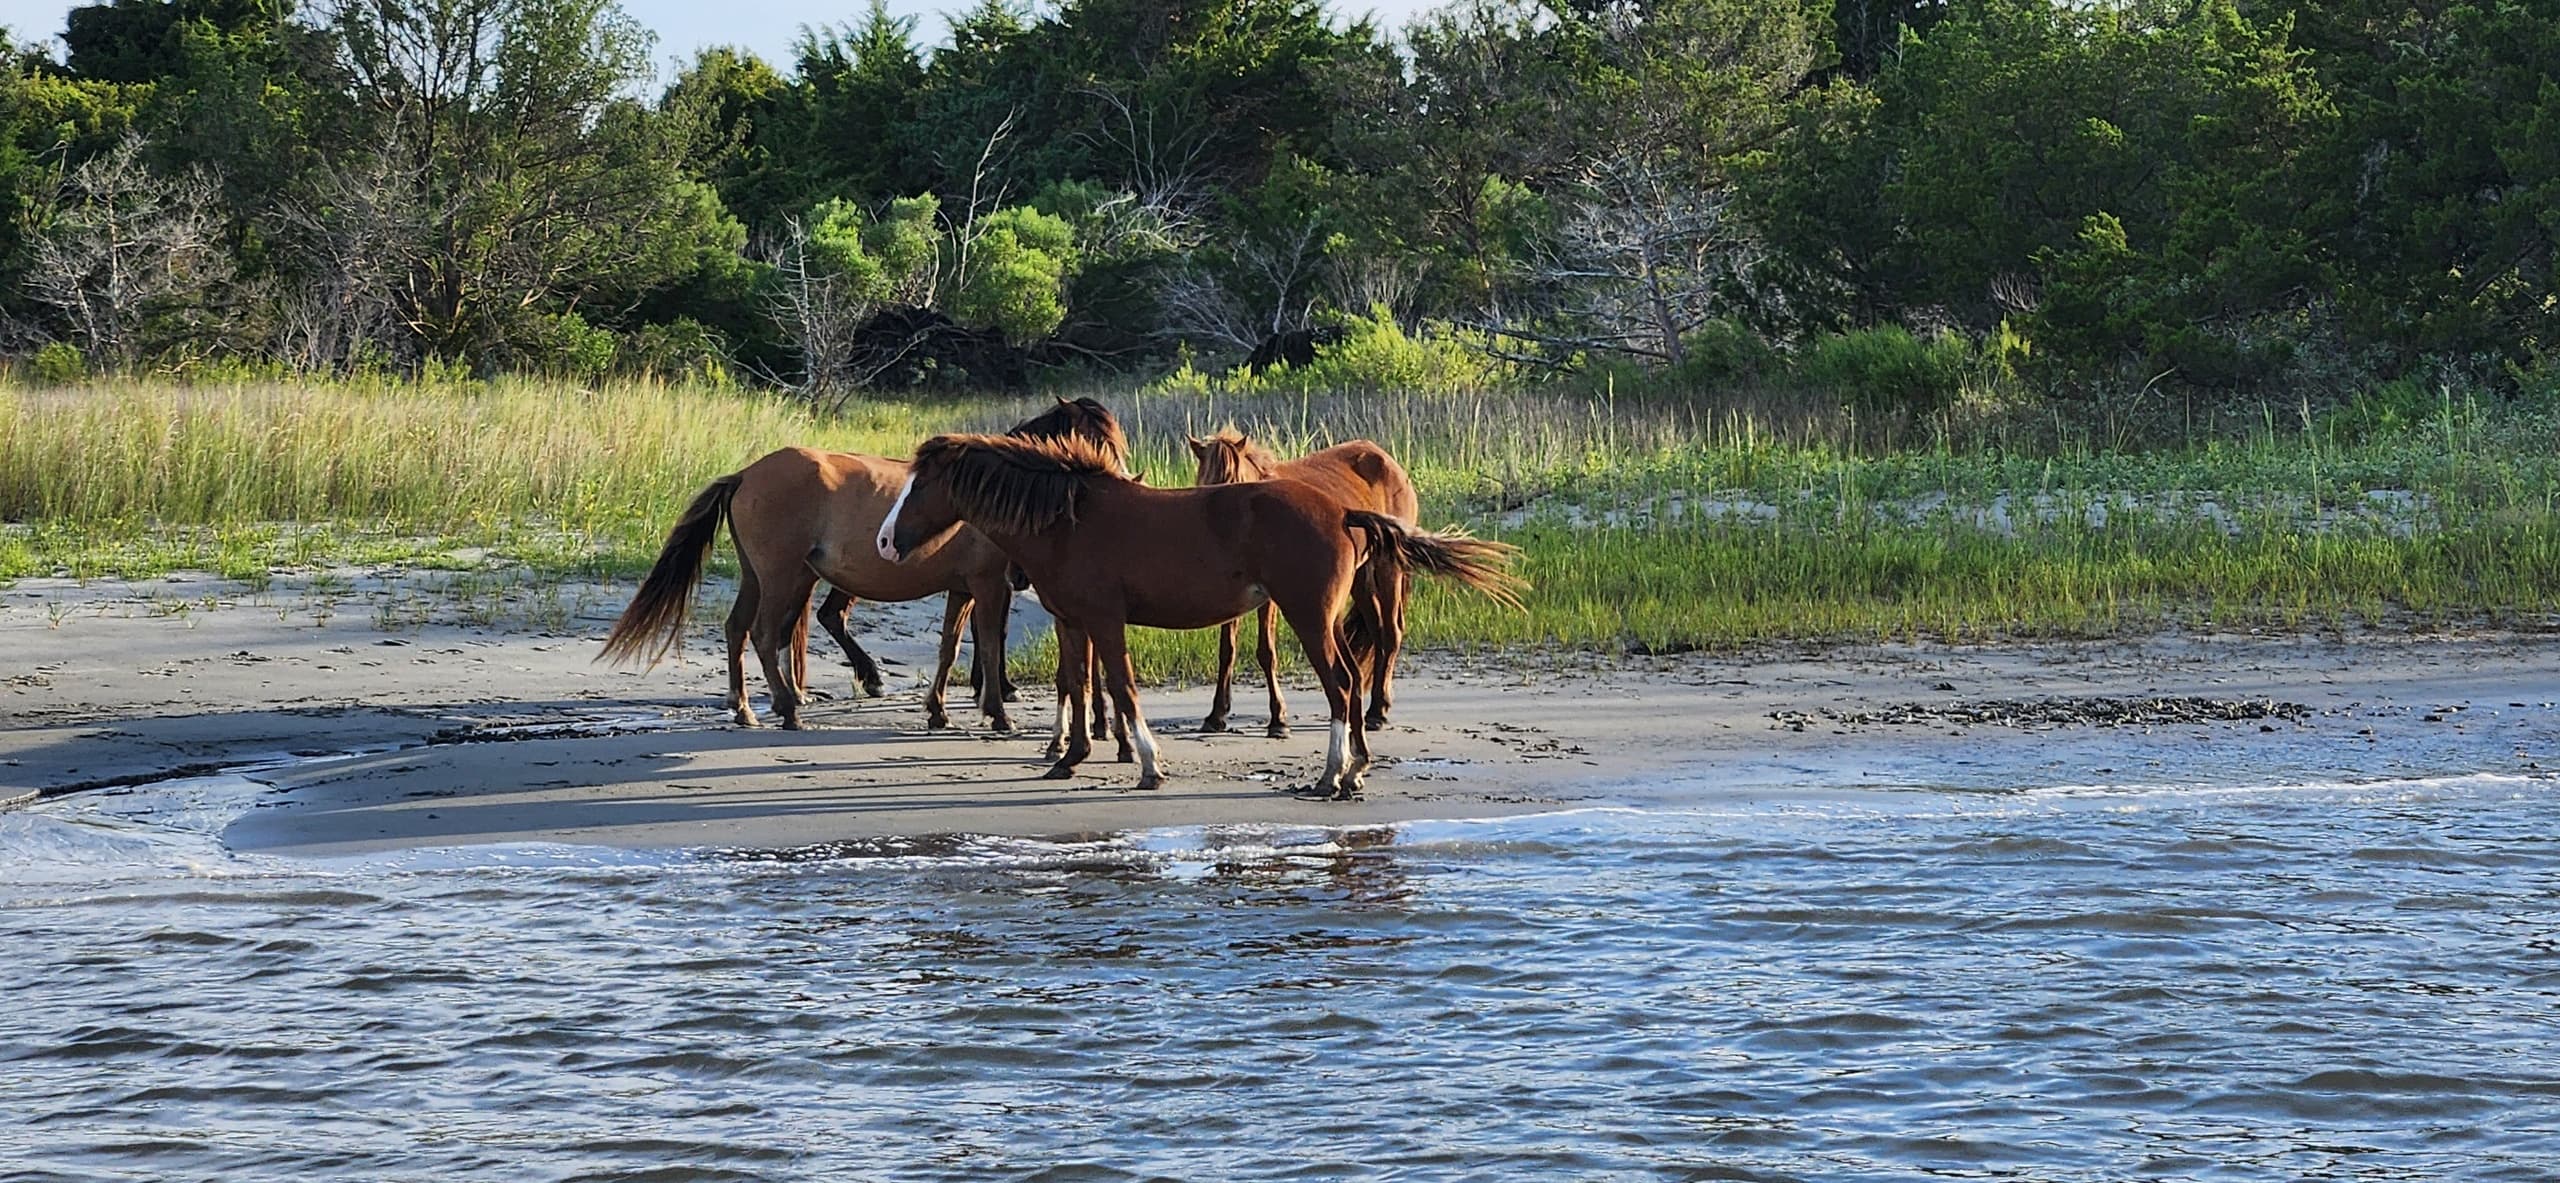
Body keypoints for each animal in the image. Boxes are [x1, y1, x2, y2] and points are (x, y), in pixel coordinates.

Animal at [601, 398, 1127, 732]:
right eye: (1091, 439)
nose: (1118, 484)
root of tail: (747, 474)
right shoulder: (989, 585)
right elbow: (990, 645)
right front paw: (997, 711)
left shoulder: (963, 588)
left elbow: (948, 648)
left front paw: (938, 711)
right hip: (783, 576)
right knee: (766, 633)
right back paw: (789, 707)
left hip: (761, 576)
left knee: (737, 629)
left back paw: (747, 708)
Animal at [1187, 428, 1420, 735]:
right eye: (1205, 488)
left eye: (1235, 485)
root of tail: (1387, 460)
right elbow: (1227, 651)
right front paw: (1216, 715)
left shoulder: (1270, 598)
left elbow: (1266, 651)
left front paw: (1278, 719)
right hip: (1361, 577)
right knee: (1378, 631)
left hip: (1386, 568)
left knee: (1391, 633)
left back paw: (1377, 712)